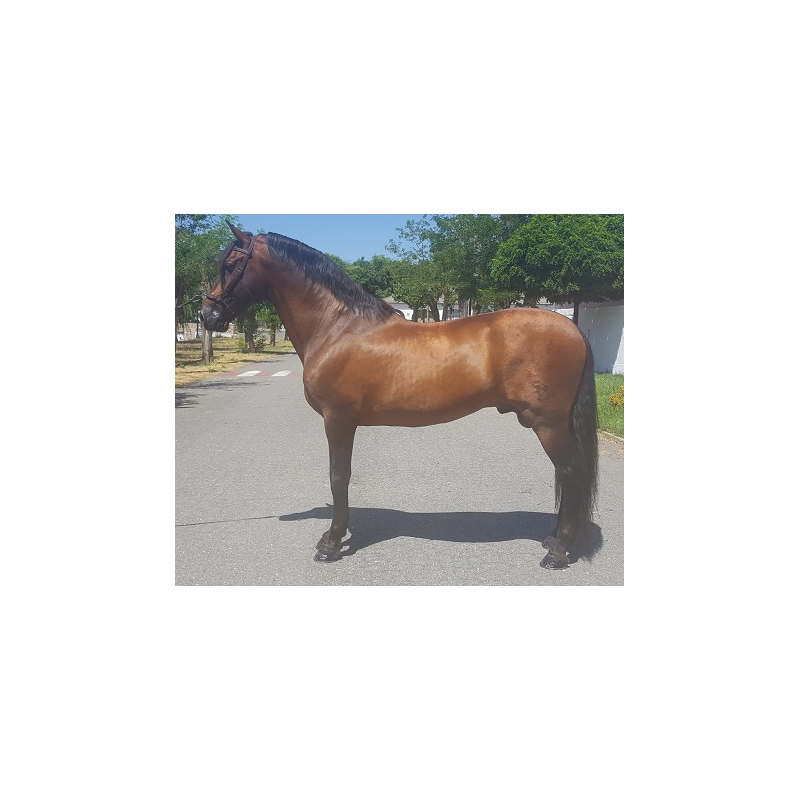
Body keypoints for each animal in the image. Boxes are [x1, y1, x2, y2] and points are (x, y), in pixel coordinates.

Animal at [199, 222, 598, 569]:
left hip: (547, 423)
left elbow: (338, 477)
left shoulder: (338, 419)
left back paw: (558, 552)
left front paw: (331, 543)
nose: (207, 315)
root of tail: (572, 328)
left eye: (230, 265)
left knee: (571, 472)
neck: (338, 328)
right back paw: (555, 540)